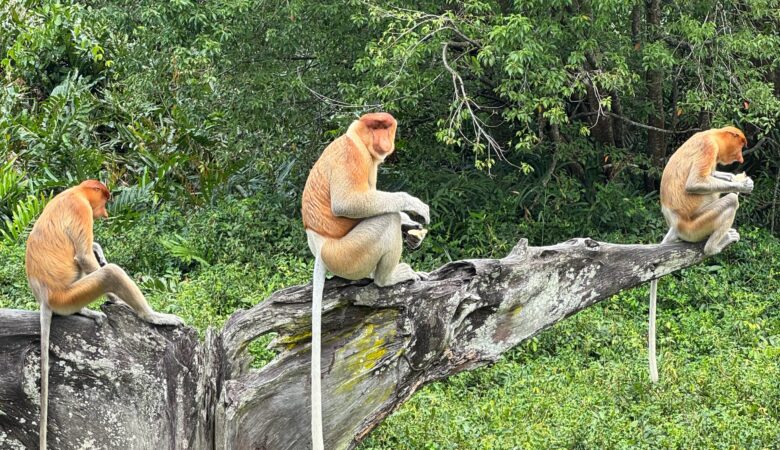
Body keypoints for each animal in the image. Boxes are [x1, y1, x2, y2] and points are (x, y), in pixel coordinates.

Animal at [25, 180, 184, 449]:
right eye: (105, 200)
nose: (106, 213)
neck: (76, 190)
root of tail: (44, 298)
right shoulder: (81, 209)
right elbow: (84, 256)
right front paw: (118, 300)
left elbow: (91, 252)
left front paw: (99, 248)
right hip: (68, 295)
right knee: (110, 273)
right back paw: (150, 315)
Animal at [301, 112, 430, 450]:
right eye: (375, 127)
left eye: (386, 126)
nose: (384, 141)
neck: (358, 140)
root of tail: (320, 250)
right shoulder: (353, 157)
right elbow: (349, 203)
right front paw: (414, 207)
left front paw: (412, 226)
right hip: (347, 255)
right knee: (383, 220)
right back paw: (388, 278)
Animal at [647, 126, 752, 383]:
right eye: (740, 146)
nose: (740, 159)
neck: (712, 134)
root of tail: (676, 225)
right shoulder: (708, 147)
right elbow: (696, 183)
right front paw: (742, 184)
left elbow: (713, 175)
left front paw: (735, 178)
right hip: (697, 225)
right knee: (729, 201)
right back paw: (716, 245)